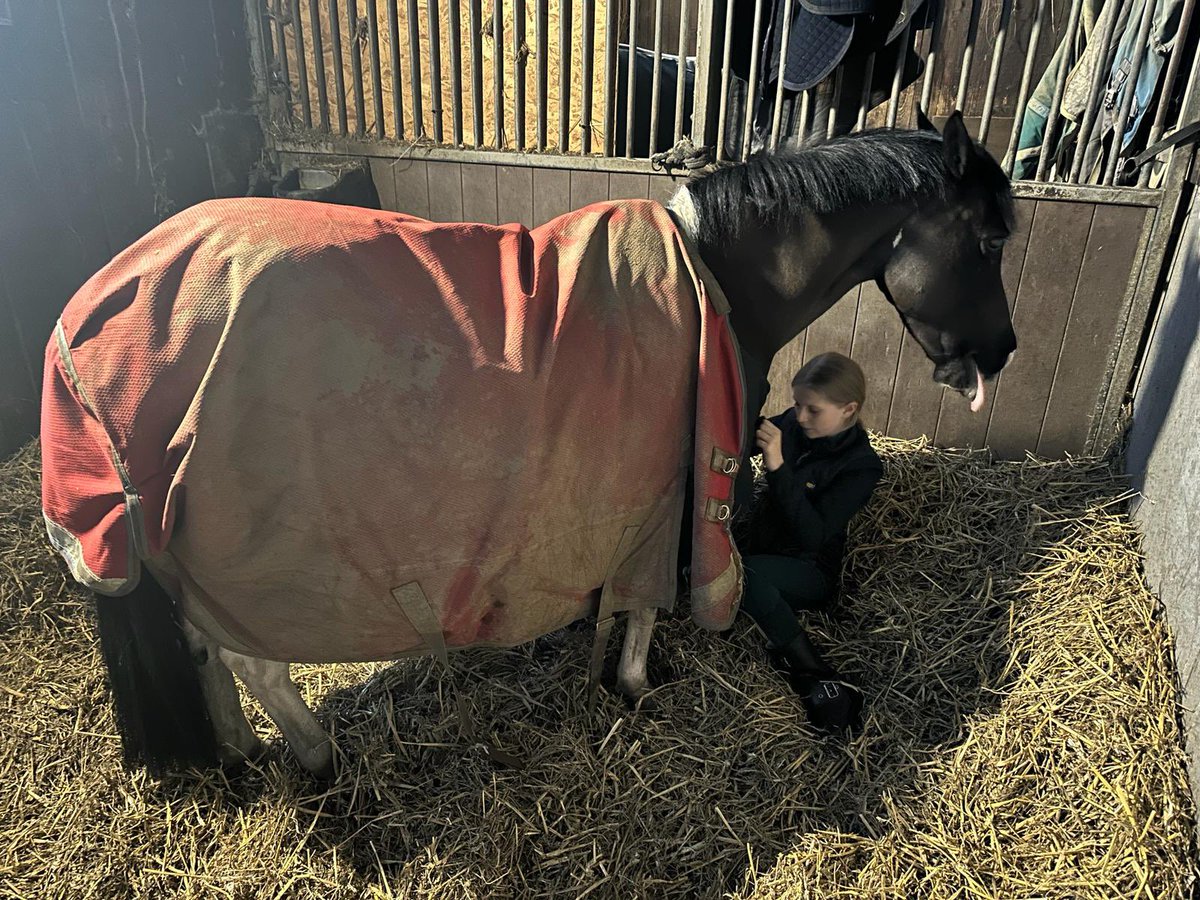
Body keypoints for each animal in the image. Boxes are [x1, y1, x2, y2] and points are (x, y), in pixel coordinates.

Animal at [39, 112, 1012, 777]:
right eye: (993, 236)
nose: (1001, 351)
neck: (716, 276)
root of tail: (84, 329)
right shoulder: (667, 486)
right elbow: (647, 601)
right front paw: (634, 682)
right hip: (244, 562)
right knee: (249, 657)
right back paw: (317, 755)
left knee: (206, 650)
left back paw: (241, 750)